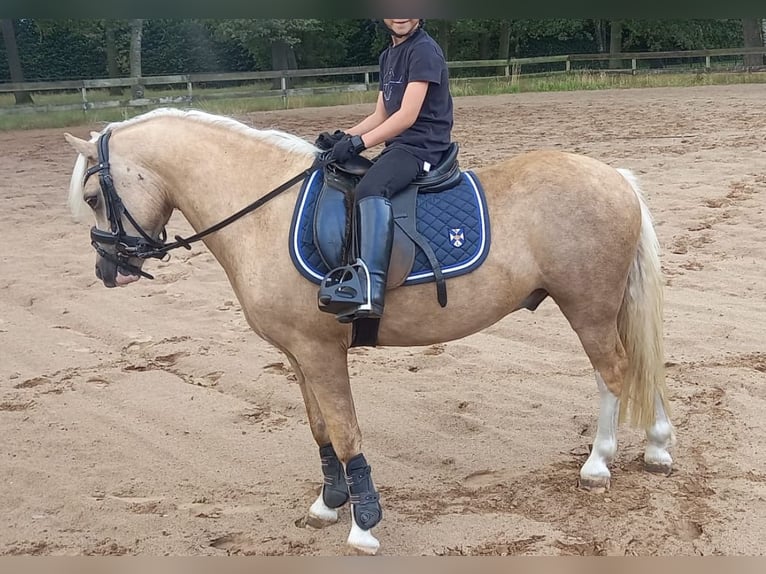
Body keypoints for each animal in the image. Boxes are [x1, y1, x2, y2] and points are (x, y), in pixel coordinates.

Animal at [64, 107, 675, 555]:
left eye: (94, 198)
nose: (108, 270)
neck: (263, 212)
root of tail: (614, 177)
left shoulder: (321, 351)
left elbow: (346, 431)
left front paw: (363, 524)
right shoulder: (298, 354)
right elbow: (320, 429)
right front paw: (329, 502)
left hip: (588, 307)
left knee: (613, 372)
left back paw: (598, 464)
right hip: (608, 307)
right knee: (643, 369)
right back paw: (656, 448)